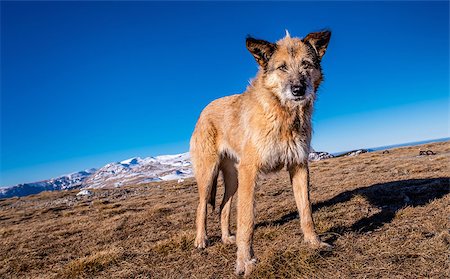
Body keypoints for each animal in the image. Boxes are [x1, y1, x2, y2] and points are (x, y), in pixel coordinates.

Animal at [190, 30, 330, 276]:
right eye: (282, 67)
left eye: (306, 64)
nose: (298, 90)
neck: (283, 113)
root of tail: (203, 110)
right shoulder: (250, 171)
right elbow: (246, 221)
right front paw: (245, 261)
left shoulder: (299, 166)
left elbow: (306, 211)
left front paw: (314, 242)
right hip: (209, 174)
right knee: (201, 206)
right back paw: (201, 240)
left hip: (234, 179)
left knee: (224, 206)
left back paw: (226, 237)